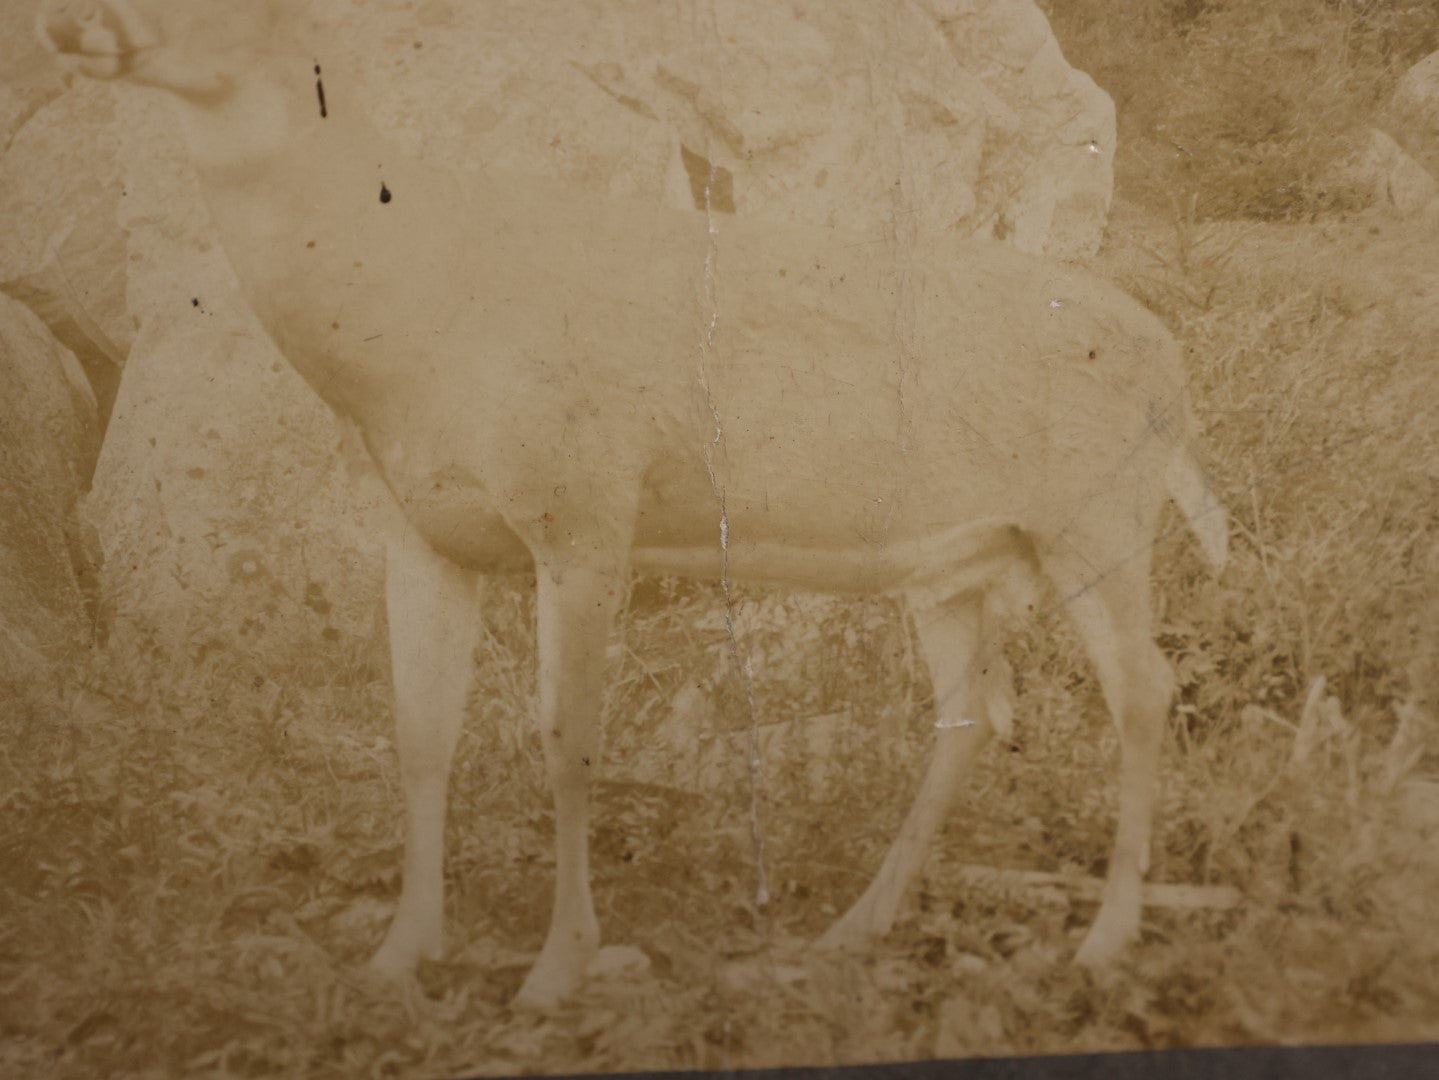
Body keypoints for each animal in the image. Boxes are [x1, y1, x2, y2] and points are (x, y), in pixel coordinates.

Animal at [44, 0, 1231, 1012]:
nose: (73, 23)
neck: (415, 311)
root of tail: (1172, 367)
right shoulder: (422, 531)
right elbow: (420, 736)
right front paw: (397, 955)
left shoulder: (582, 505)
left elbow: (568, 737)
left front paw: (556, 970)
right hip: (956, 561)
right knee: (972, 712)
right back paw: (855, 928)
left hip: (1096, 515)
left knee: (1143, 690)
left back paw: (1102, 941)